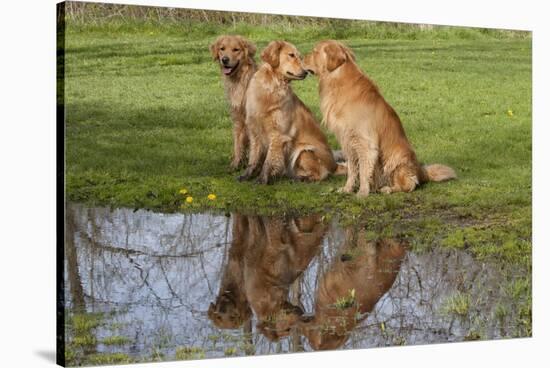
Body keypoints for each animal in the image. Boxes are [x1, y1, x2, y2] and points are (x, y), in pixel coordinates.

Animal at [240, 40, 348, 184]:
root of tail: (335, 166)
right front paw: (247, 176)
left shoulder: (278, 135)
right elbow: (253, 159)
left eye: (300, 57)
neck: (272, 86)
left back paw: (302, 179)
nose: (306, 72)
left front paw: (262, 179)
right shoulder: (254, 132)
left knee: (321, 174)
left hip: (304, 150)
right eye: (291, 55)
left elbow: (268, 161)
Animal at [304, 40, 454, 197]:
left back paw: (387, 188)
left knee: (408, 185)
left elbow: (364, 171)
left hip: (396, 159)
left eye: (314, 51)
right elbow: (352, 170)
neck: (338, 80)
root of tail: (421, 170)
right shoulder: (347, 142)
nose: (301, 58)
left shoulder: (365, 143)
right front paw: (347, 189)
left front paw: (362, 193)